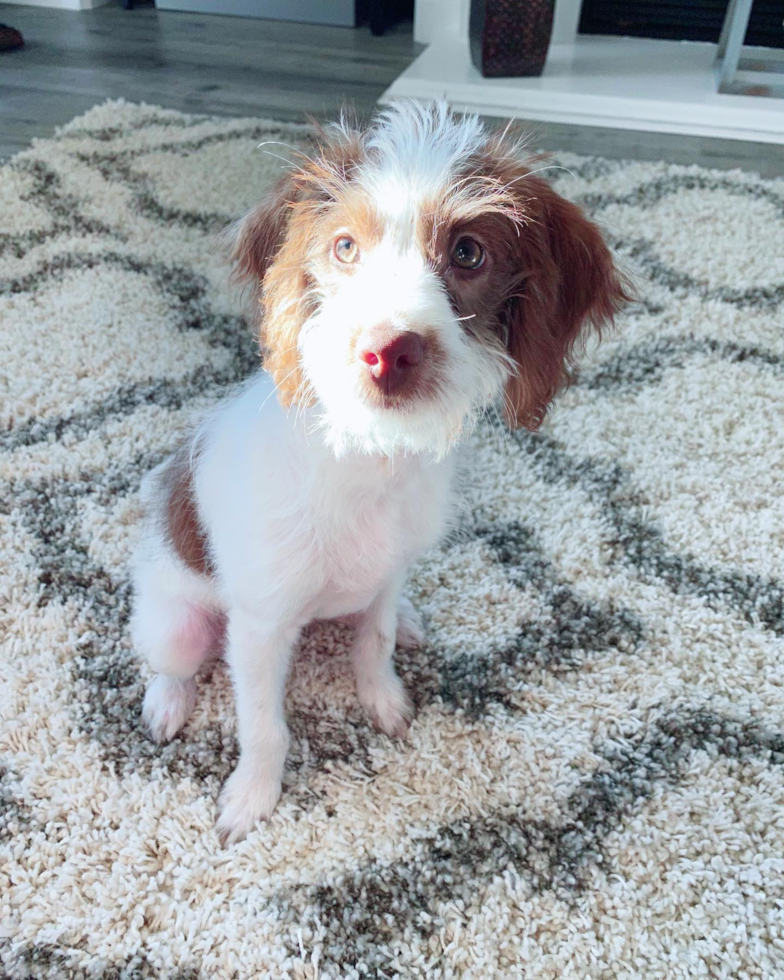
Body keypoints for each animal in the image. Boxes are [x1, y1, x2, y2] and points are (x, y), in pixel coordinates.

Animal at [132, 103, 628, 848]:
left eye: (468, 252)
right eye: (344, 247)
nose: (387, 352)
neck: (369, 457)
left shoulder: (390, 574)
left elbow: (376, 640)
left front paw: (384, 699)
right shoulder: (260, 627)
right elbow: (264, 726)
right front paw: (252, 797)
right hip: (177, 621)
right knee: (172, 660)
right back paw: (166, 701)